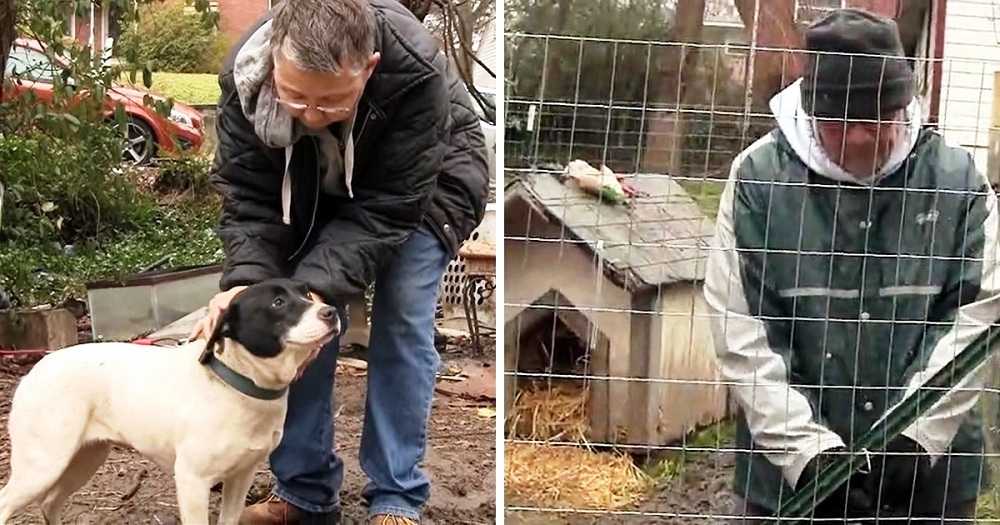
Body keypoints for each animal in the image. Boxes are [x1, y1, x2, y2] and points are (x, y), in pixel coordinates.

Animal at [0, 276, 340, 520]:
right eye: (278, 302)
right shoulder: (192, 482)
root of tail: (34, 371)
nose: (332, 312)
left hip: (85, 456)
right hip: (43, 464)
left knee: (50, 502)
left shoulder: (241, 477)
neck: (236, 383)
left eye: (307, 294)